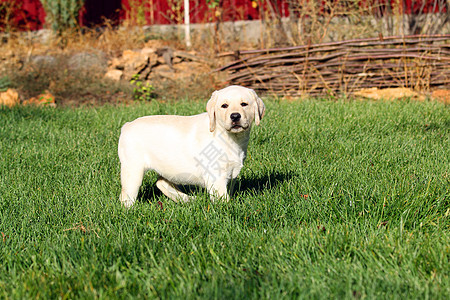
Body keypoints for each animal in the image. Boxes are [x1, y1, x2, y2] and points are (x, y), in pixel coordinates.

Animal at [118, 84, 266, 206]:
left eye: (244, 104)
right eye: (224, 106)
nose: (235, 116)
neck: (229, 137)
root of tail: (126, 125)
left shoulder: (232, 173)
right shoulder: (216, 176)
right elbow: (223, 198)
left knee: (161, 183)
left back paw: (187, 199)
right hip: (133, 169)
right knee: (126, 195)